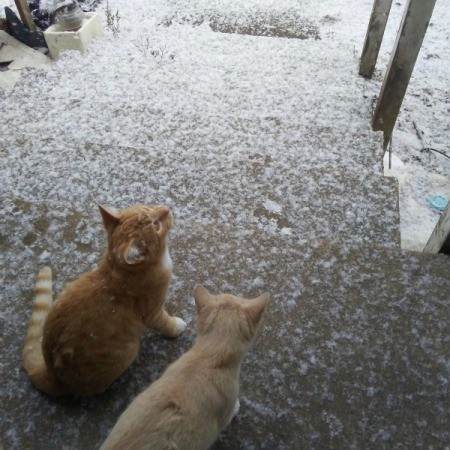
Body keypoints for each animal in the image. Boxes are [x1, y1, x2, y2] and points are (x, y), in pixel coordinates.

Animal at [22, 205, 185, 398]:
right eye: (156, 225)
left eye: (149, 207)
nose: (166, 208)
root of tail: (52, 375)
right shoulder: (152, 312)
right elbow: (165, 323)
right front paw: (177, 326)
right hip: (126, 354)